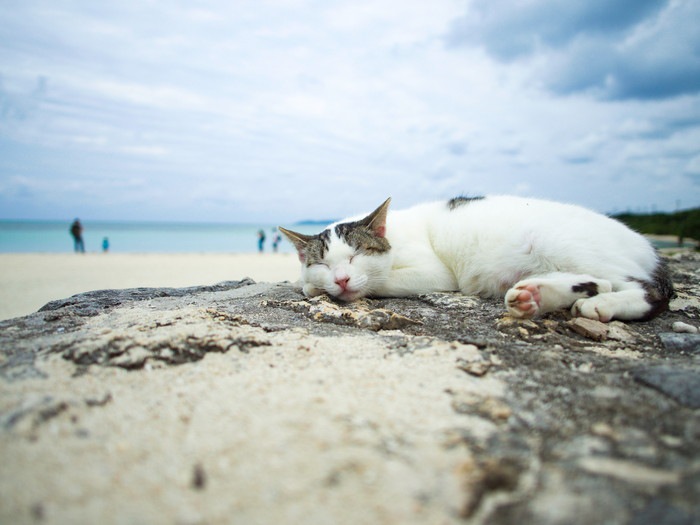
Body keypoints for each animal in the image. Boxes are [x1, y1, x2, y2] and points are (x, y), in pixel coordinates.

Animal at [278, 195, 672, 322]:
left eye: (358, 254)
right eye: (323, 263)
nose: (341, 279)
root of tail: (646, 242)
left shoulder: (434, 272)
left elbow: (377, 282)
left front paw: (319, 289)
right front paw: (314, 284)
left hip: (560, 241)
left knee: (646, 290)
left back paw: (602, 306)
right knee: (597, 281)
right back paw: (533, 296)